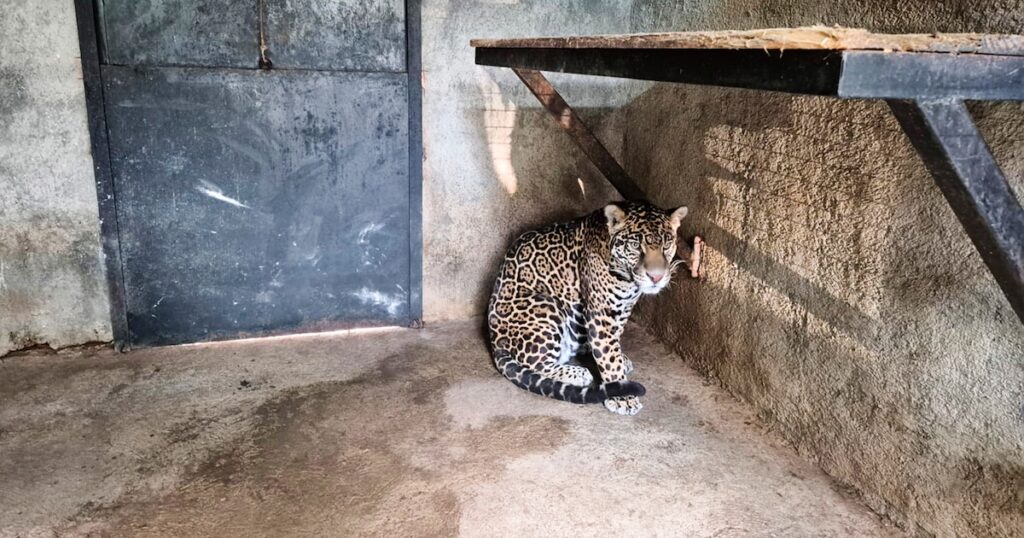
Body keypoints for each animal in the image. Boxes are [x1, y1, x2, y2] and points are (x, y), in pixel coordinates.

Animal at [487, 200, 702, 415]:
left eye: (667, 244)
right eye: (635, 246)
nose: (656, 277)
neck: (628, 280)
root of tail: (495, 342)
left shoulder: (623, 308)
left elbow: (613, 342)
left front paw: (619, 360)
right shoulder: (601, 314)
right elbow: (609, 355)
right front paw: (623, 397)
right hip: (546, 305)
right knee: (535, 363)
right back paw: (577, 372)